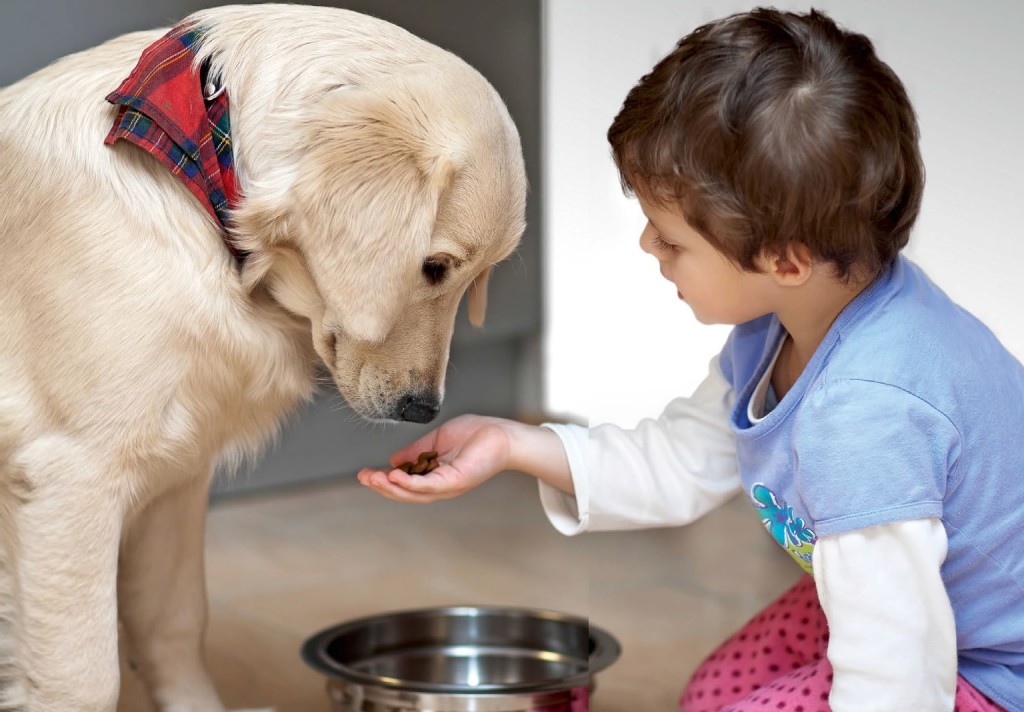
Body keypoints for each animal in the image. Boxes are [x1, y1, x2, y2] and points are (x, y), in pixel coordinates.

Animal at [0, 2, 528, 708]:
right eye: (434, 266)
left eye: (473, 277)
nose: (423, 409)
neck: (193, 180)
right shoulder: (72, 476)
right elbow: (84, 677)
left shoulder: (176, 473)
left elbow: (173, 623)